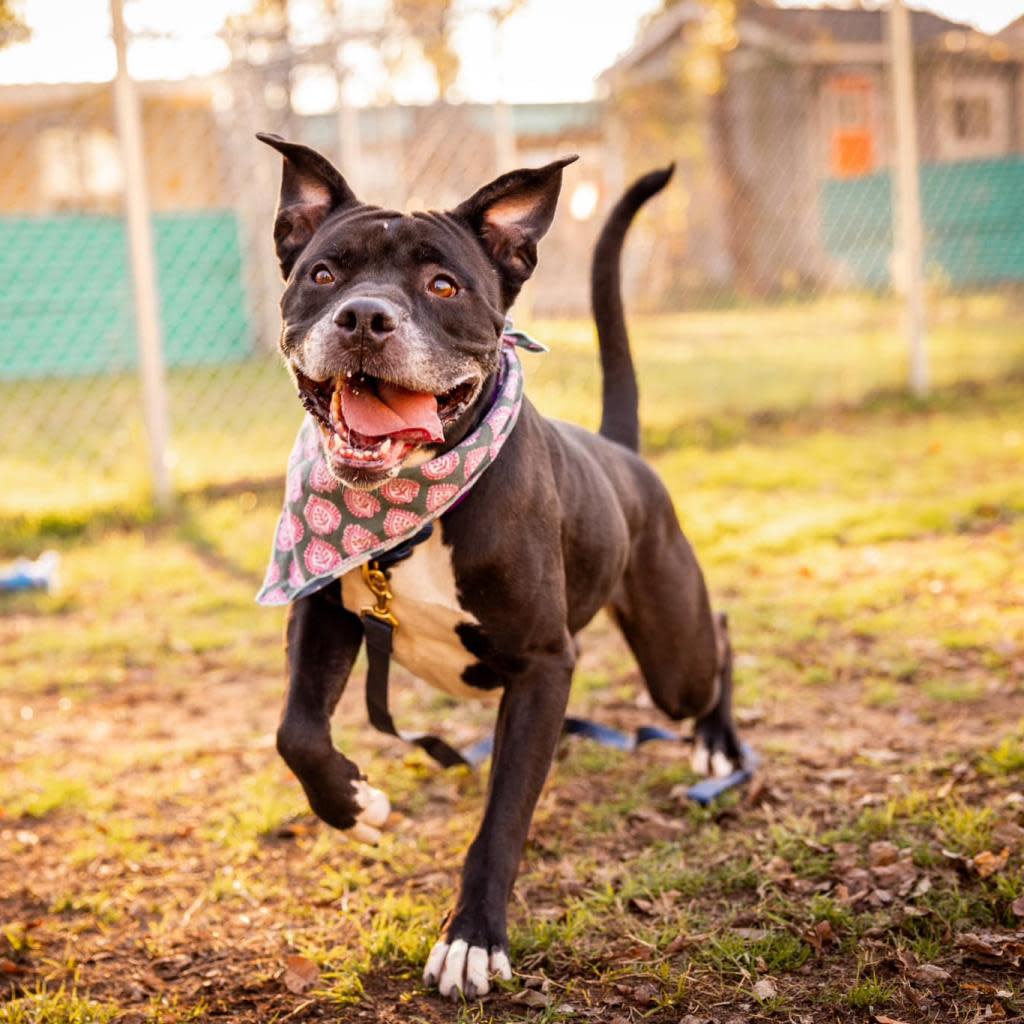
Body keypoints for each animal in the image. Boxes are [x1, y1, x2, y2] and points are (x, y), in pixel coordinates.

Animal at [253, 132, 737, 995]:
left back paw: (717, 744)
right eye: (324, 273)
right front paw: (354, 803)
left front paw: (472, 939)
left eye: (443, 285)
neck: (411, 505)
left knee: (714, 639)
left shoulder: (544, 665)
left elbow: (503, 817)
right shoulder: (326, 610)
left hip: (672, 655)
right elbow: (296, 731)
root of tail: (620, 453)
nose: (364, 316)